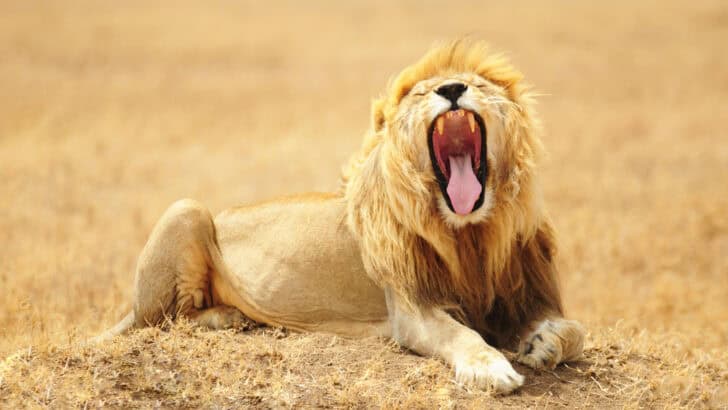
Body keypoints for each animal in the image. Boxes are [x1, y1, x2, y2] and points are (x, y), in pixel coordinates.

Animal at [97, 39, 585, 394]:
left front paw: (543, 344)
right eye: (424, 92)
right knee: (165, 320)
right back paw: (230, 318)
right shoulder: (412, 308)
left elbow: (576, 331)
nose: (450, 90)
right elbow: (460, 335)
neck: (472, 235)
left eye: (476, 86)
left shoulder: (519, 292)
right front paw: (490, 369)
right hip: (187, 210)